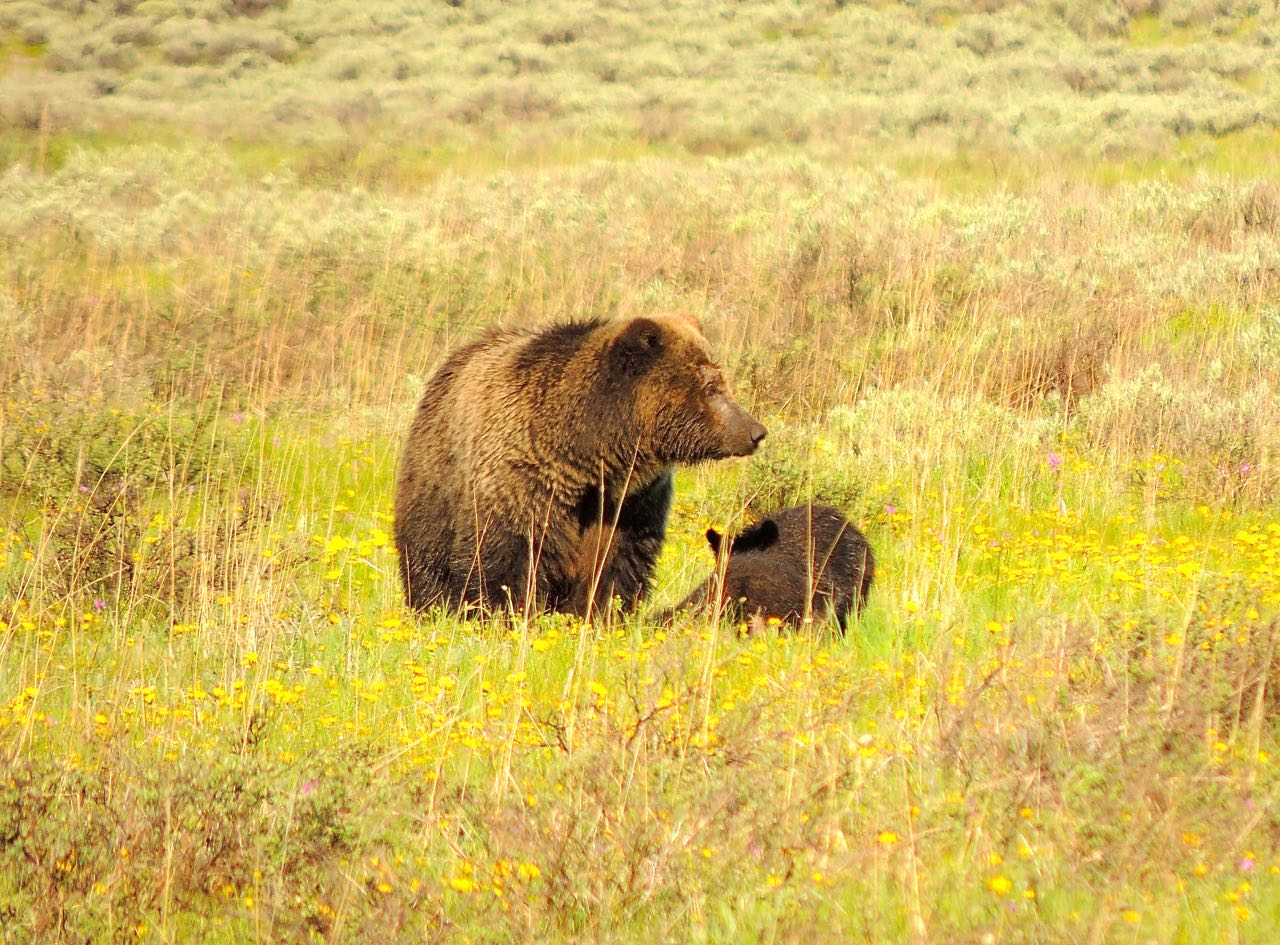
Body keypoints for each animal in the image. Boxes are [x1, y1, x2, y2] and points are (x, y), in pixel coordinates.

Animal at [394, 312, 762, 614]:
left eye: (722, 383)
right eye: (711, 387)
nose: (756, 431)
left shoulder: (628, 501)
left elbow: (614, 561)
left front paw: (599, 612)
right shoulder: (523, 477)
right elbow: (508, 555)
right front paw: (505, 611)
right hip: (438, 476)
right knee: (426, 552)